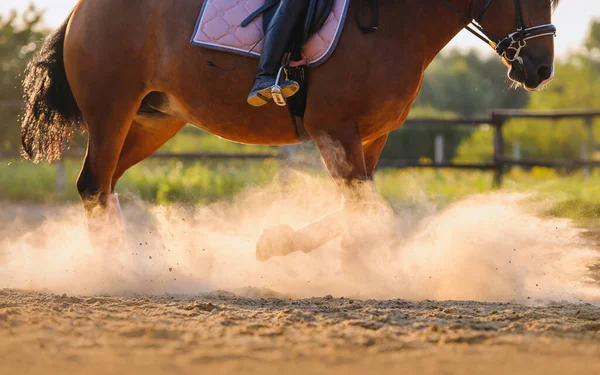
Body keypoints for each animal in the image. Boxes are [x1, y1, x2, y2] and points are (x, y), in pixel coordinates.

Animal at [22, 1, 556, 262]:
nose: (540, 69)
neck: (394, 24)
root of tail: (79, 10)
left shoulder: (370, 135)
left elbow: (359, 207)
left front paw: (281, 244)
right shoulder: (332, 129)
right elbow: (368, 209)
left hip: (155, 120)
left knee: (103, 186)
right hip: (112, 111)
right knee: (93, 185)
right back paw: (117, 271)